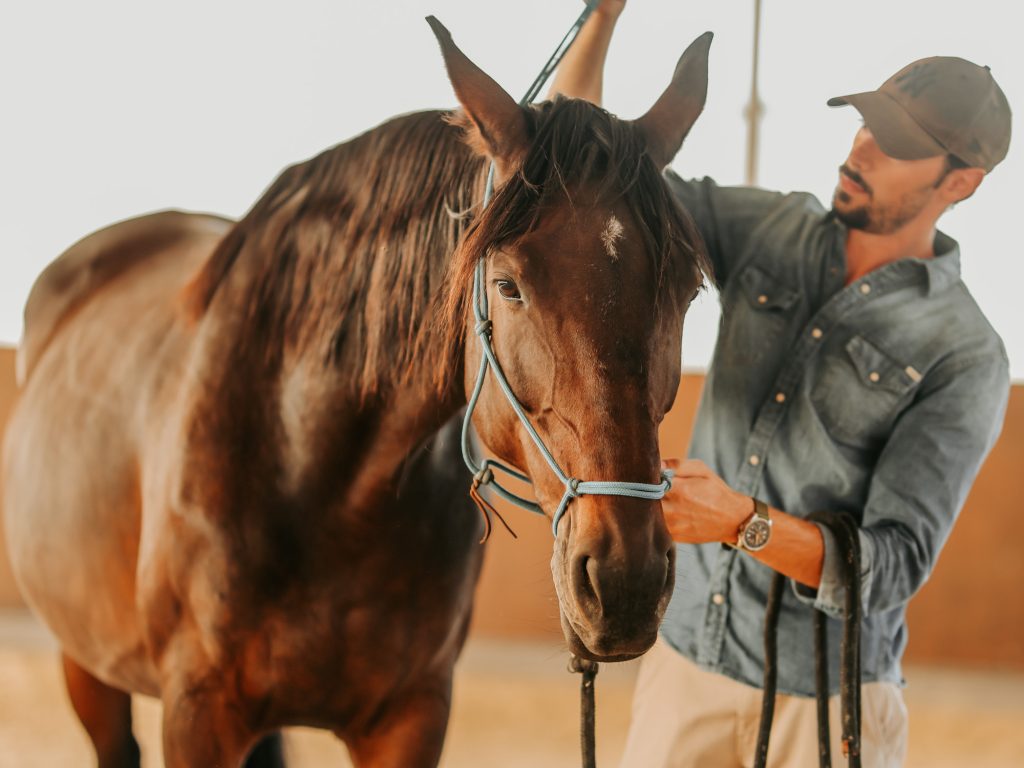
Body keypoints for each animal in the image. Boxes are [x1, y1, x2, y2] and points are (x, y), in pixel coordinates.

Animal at [2, 18, 711, 768]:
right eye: (508, 285)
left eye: (688, 291)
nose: (626, 581)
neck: (315, 477)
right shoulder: (196, 715)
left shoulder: (413, 714)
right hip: (84, 662)